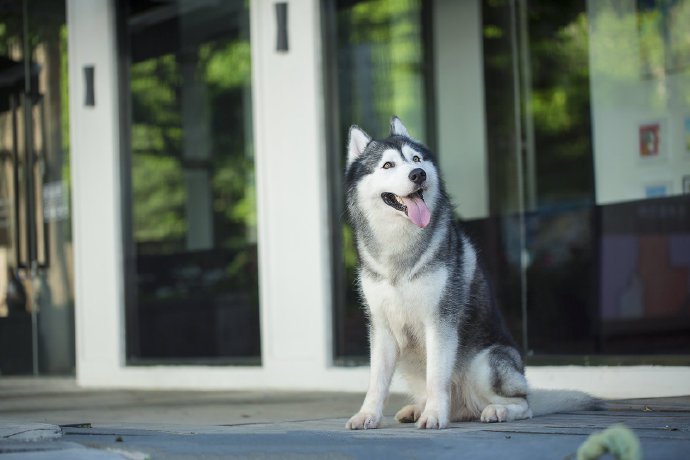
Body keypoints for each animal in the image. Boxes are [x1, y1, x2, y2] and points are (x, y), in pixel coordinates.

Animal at [344, 117, 596, 430]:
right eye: (388, 165)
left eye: (416, 159)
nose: (418, 174)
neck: (399, 249)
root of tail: (463, 407)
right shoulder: (382, 328)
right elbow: (376, 382)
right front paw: (367, 415)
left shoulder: (439, 322)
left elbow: (436, 377)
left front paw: (434, 415)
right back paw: (417, 408)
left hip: (484, 364)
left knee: (524, 404)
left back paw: (495, 411)